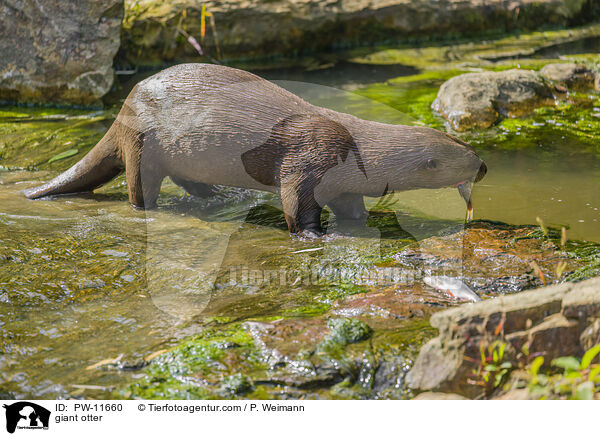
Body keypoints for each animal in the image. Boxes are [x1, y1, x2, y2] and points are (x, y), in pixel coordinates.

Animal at [25, 63, 488, 235]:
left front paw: (358, 223)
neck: (356, 150)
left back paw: (214, 196)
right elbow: (296, 204)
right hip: (142, 147)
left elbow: (351, 206)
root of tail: (124, 106)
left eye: (469, 146)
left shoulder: (343, 185)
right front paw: (313, 233)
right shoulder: (308, 162)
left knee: (188, 180)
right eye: (465, 158)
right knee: (139, 191)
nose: (484, 167)